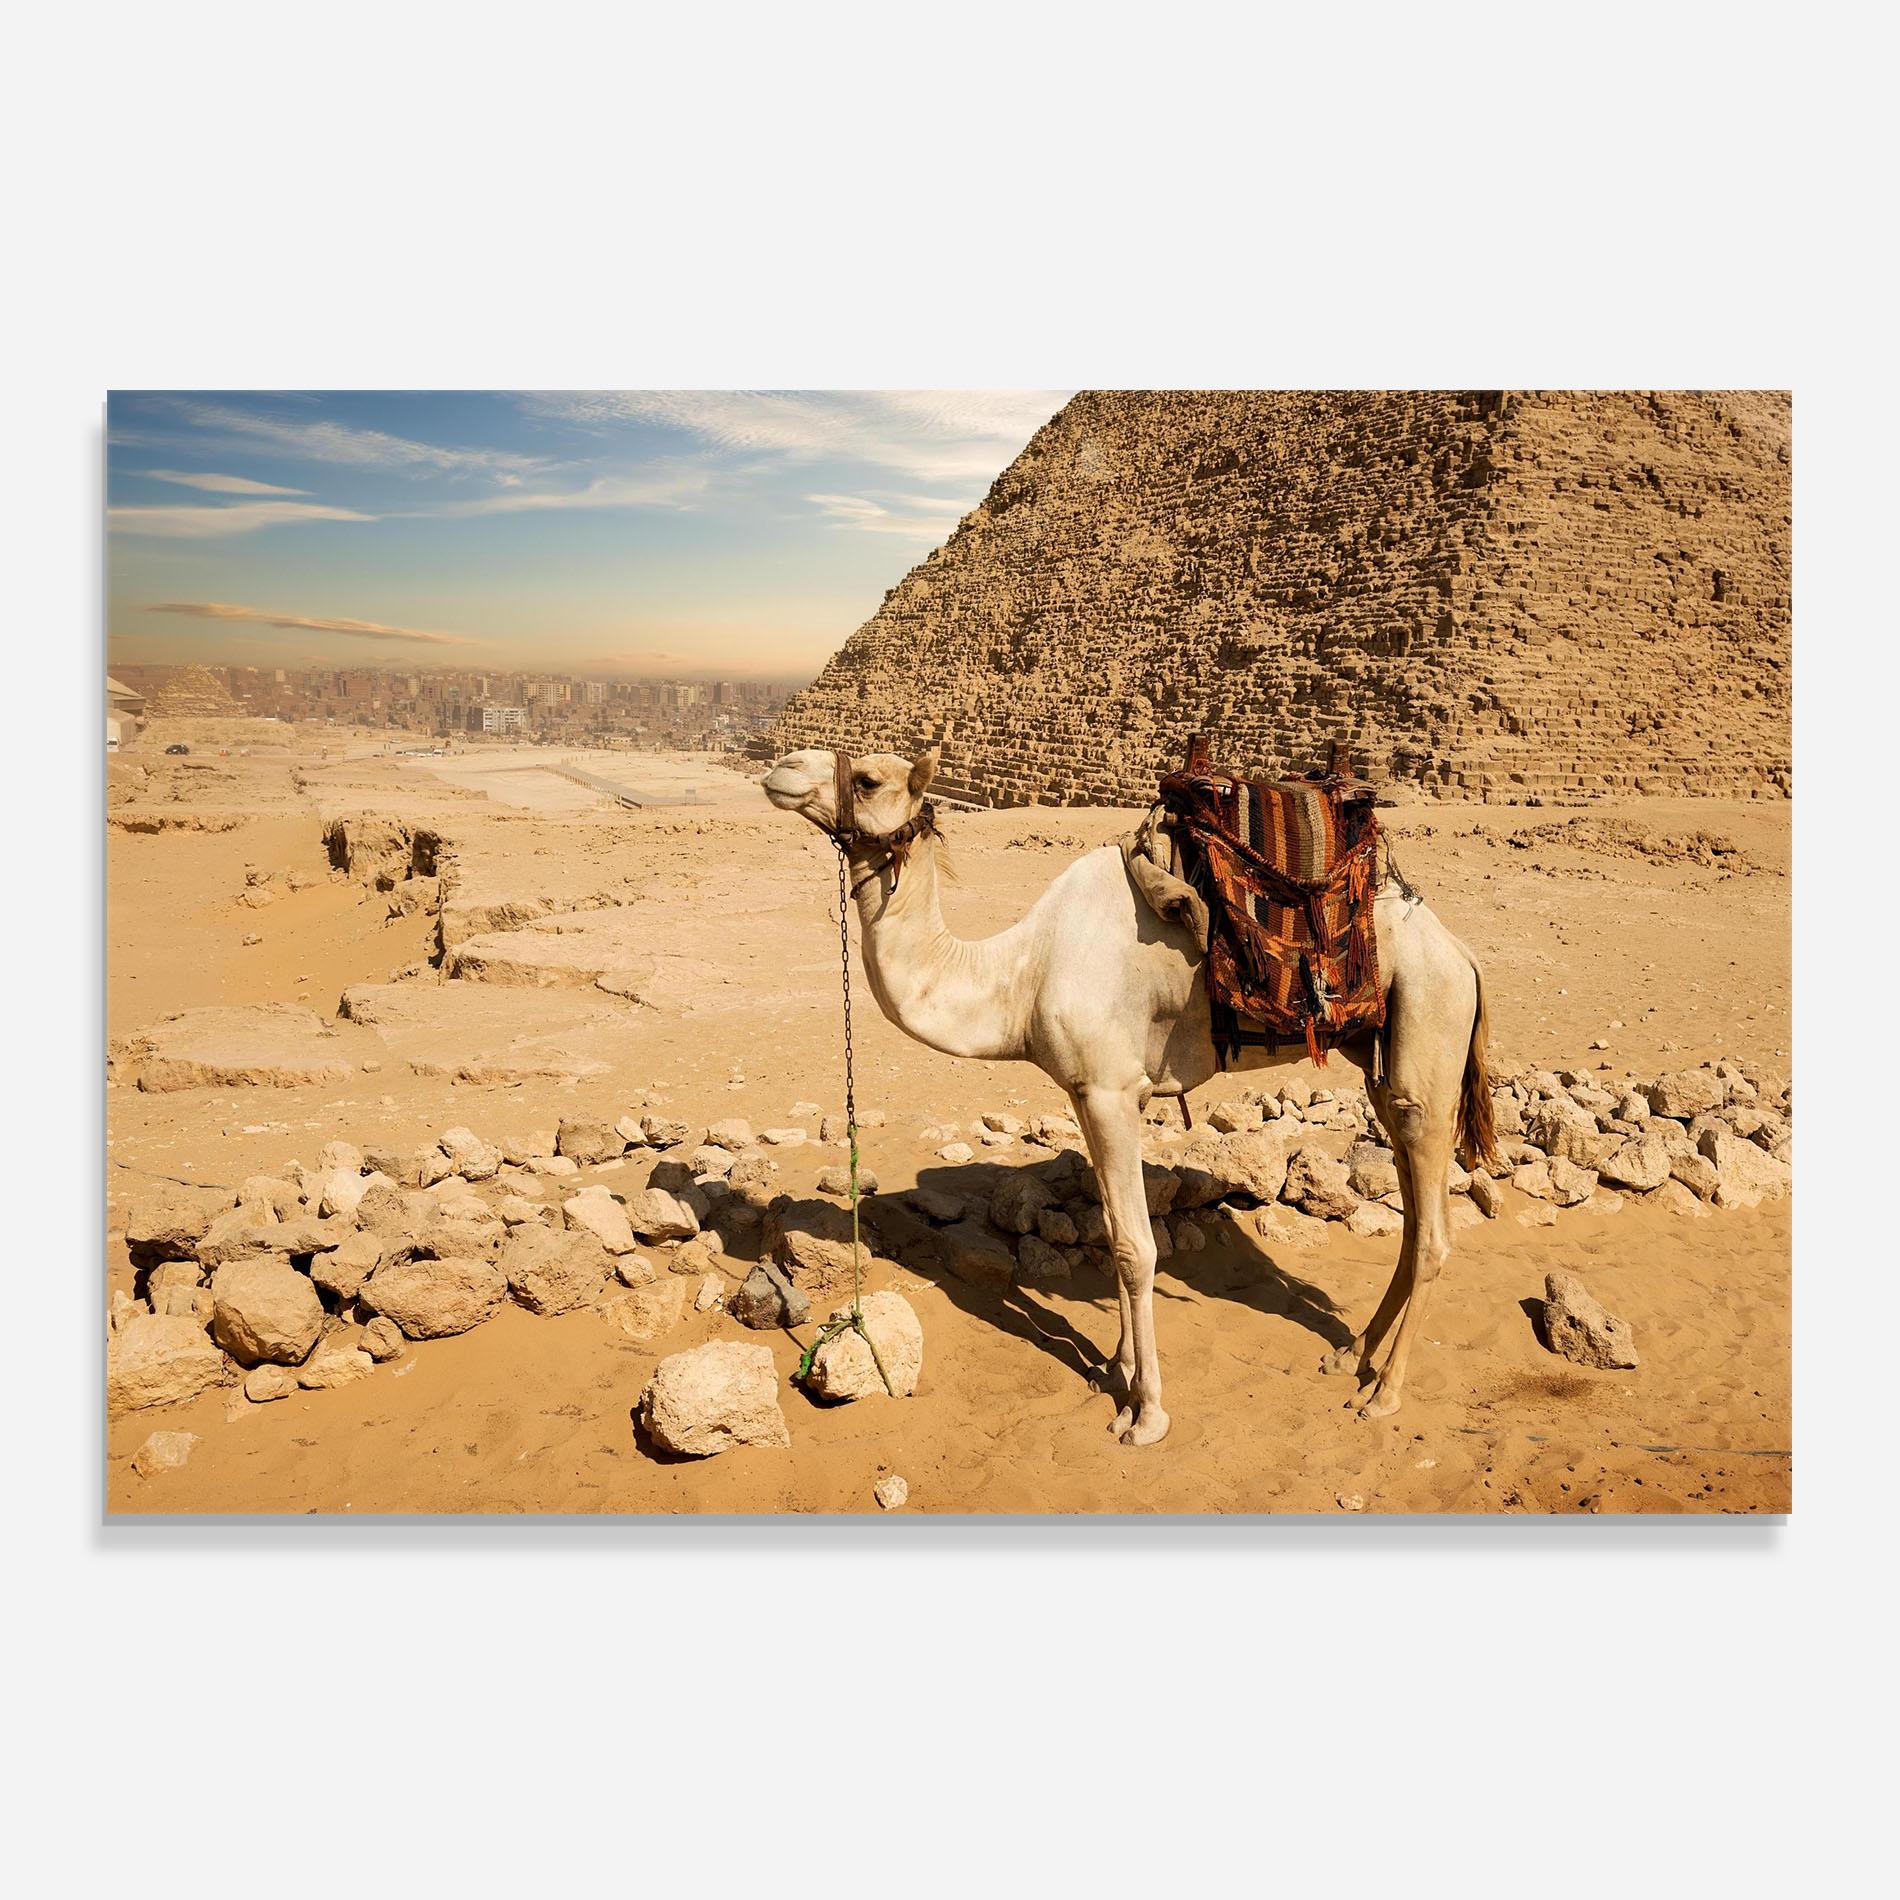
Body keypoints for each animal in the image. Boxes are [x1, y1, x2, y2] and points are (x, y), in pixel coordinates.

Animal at [762, 744, 1496, 1447]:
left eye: (868, 780)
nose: (780, 769)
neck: (1021, 974)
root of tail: (1464, 955)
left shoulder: (1113, 1091)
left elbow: (1136, 1249)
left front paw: (1145, 1413)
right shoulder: (1087, 1091)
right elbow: (1116, 1232)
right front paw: (1116, 1367)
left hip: (1430, 1026)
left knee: (1434, 1231)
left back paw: (1383, 1393)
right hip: (1378, 1060)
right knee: (1411, 1213)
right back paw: (1351, 1356)